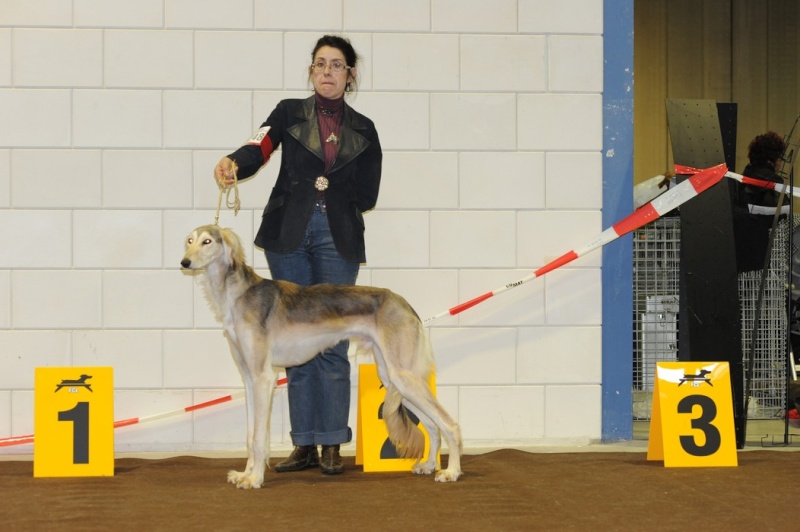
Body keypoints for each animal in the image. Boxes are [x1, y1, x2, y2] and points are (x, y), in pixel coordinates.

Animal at [181, 224, 462, 489]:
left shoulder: (263, 378)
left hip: (403, 376)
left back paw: (451, 471)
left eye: (207, 241)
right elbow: (250, 436)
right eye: (190, 240)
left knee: (449, 424)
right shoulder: (249, 380)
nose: (184, 262)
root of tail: (403, 303)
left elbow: (259, 438)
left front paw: (255, 478)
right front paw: (245, 474)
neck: (237, 294)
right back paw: (429, 465)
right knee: (433, 426)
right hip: (393, 377)